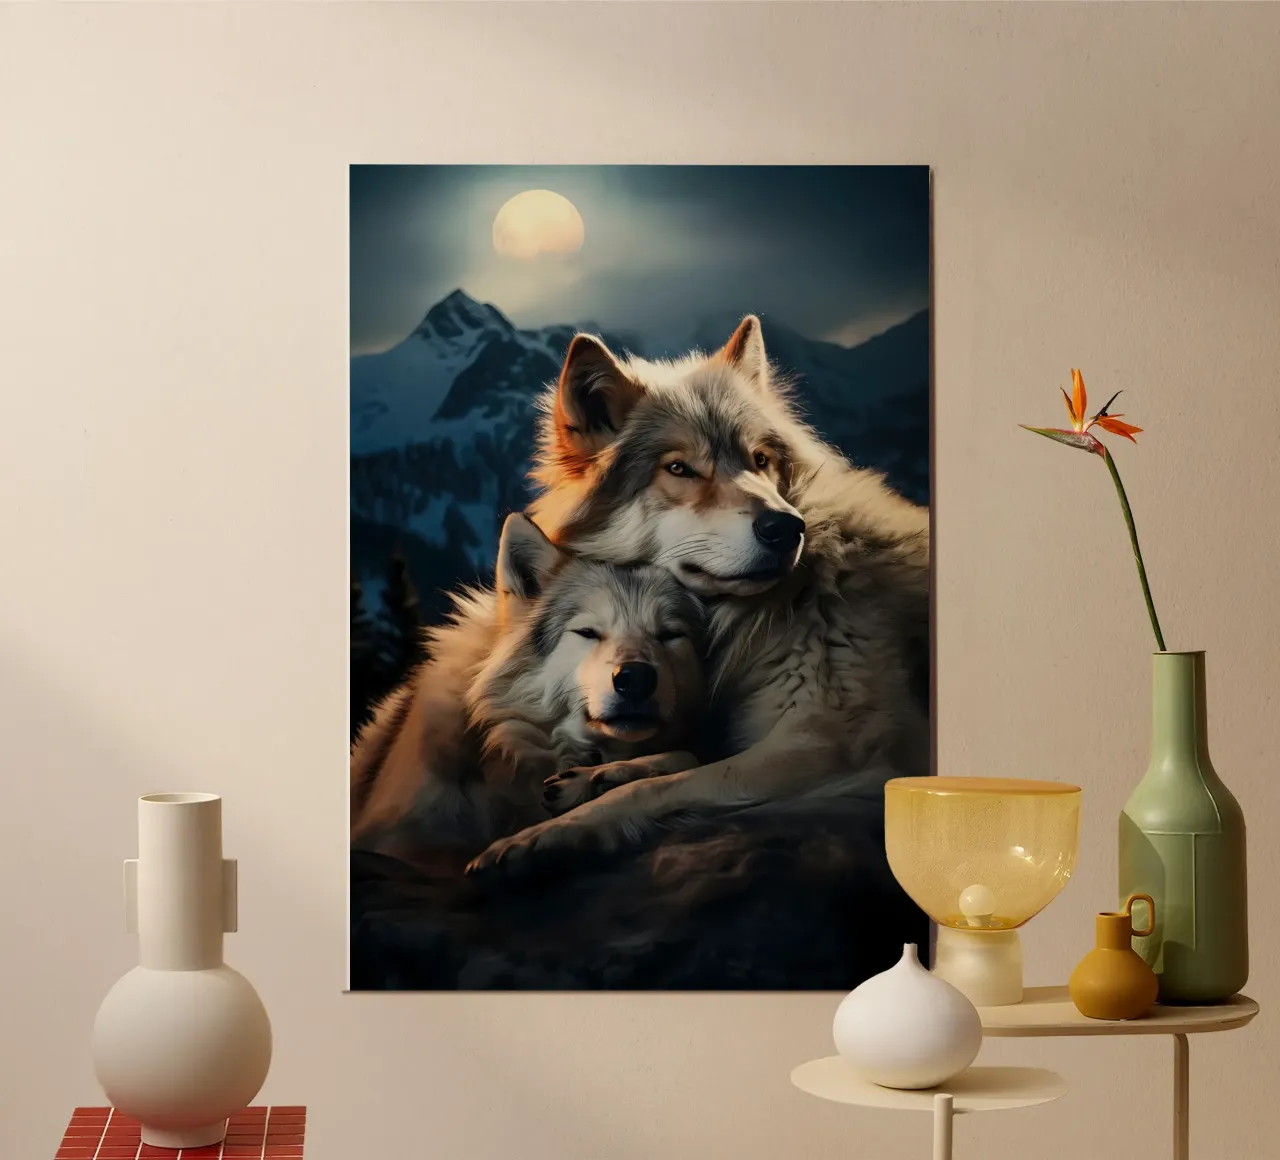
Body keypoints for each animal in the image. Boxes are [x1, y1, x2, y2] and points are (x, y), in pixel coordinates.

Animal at [350, 512, 707, 861]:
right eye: (587, 632)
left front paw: (600, 780)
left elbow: (687, 757)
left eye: (669, 635)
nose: (636, 678)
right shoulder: (399, 836)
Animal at [465, 314, 930, 876]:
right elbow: (685, 760)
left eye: (760, 459)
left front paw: (542, 835)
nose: (786, 528)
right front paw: (597, 777)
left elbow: (662, 788)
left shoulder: (830, 748)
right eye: (679, 468)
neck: (790, 604)